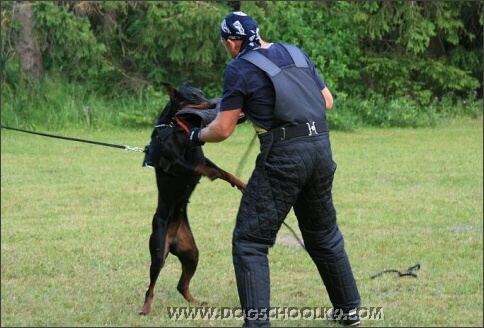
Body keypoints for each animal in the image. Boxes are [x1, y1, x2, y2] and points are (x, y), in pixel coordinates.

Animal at [139, 81, 246, 316]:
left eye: (202, 93)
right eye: (192, 97)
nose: (213, 104)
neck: (177, 128)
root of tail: (172, 238)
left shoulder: (202, 156)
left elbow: (223, 171)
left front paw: (241, 184)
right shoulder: (178, 163)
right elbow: (202, 168)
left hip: (191, 253)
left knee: (181, 285)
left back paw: (195, 302)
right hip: (158, 252)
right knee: (150, 286)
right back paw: (146, 307)